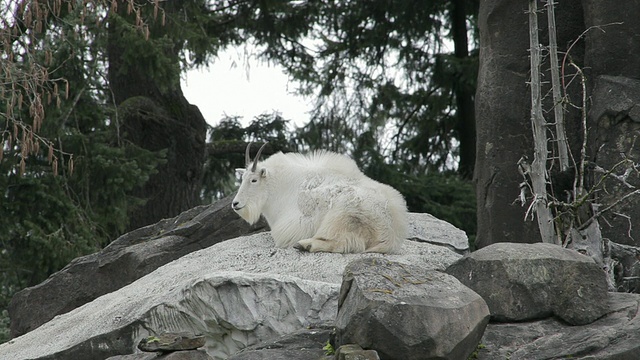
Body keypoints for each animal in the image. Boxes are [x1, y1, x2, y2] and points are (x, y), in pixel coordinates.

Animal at [232, 142, 408, 255]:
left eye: (254, 180)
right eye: (243, 178)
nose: (235, 204)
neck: (285, 186)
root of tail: (392, 234)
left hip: (343, 214)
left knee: (345, 242)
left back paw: (305, 245)